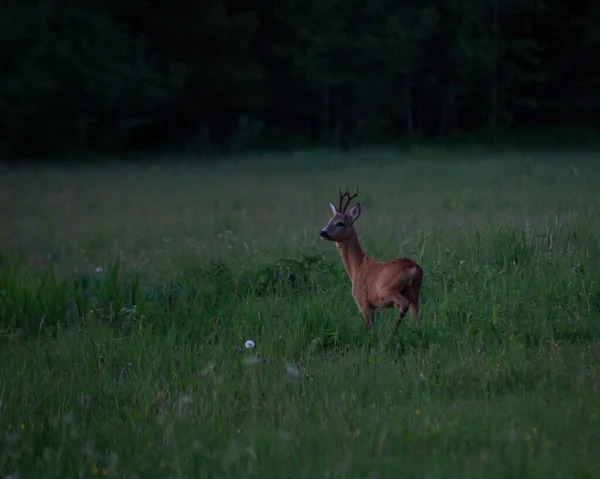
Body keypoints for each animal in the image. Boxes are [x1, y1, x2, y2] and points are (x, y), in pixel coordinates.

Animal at [318, 188, 422, 334]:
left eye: (340, 223)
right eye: (330, 220)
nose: (323, 232)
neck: (357, 267)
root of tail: (413, 267)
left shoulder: (363, 303)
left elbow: (368, 329)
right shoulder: (373, 307)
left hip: (387, 289)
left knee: (403, 304)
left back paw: (392, 332)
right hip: (415, 293)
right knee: (417, 319)